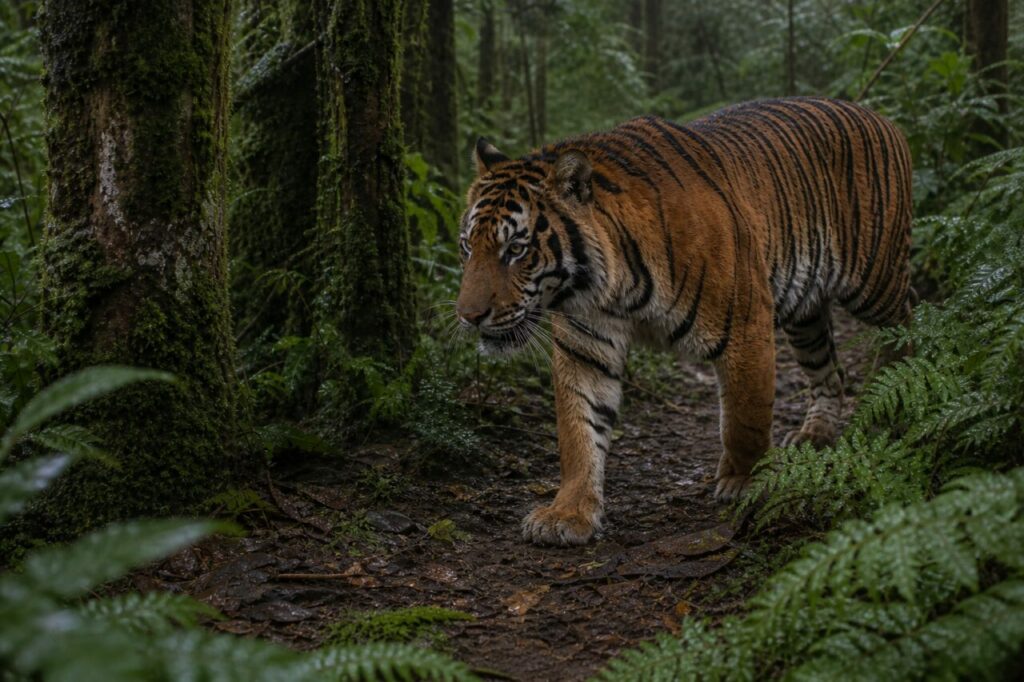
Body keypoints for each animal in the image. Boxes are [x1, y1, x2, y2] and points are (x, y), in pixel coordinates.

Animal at [455, 97, 914, 546]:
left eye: (516, 249)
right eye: (467, 247)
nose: (468, 316)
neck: (613, 286)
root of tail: (878, 115)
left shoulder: (746, 324)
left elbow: (745, 418)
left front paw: (743, 482)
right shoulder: (585, 347)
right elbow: (578, 430)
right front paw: (568, 513)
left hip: (876, 283)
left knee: (909, 326)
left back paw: (898, 402)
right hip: (806, 312)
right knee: (829, 372)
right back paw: (816, 433)